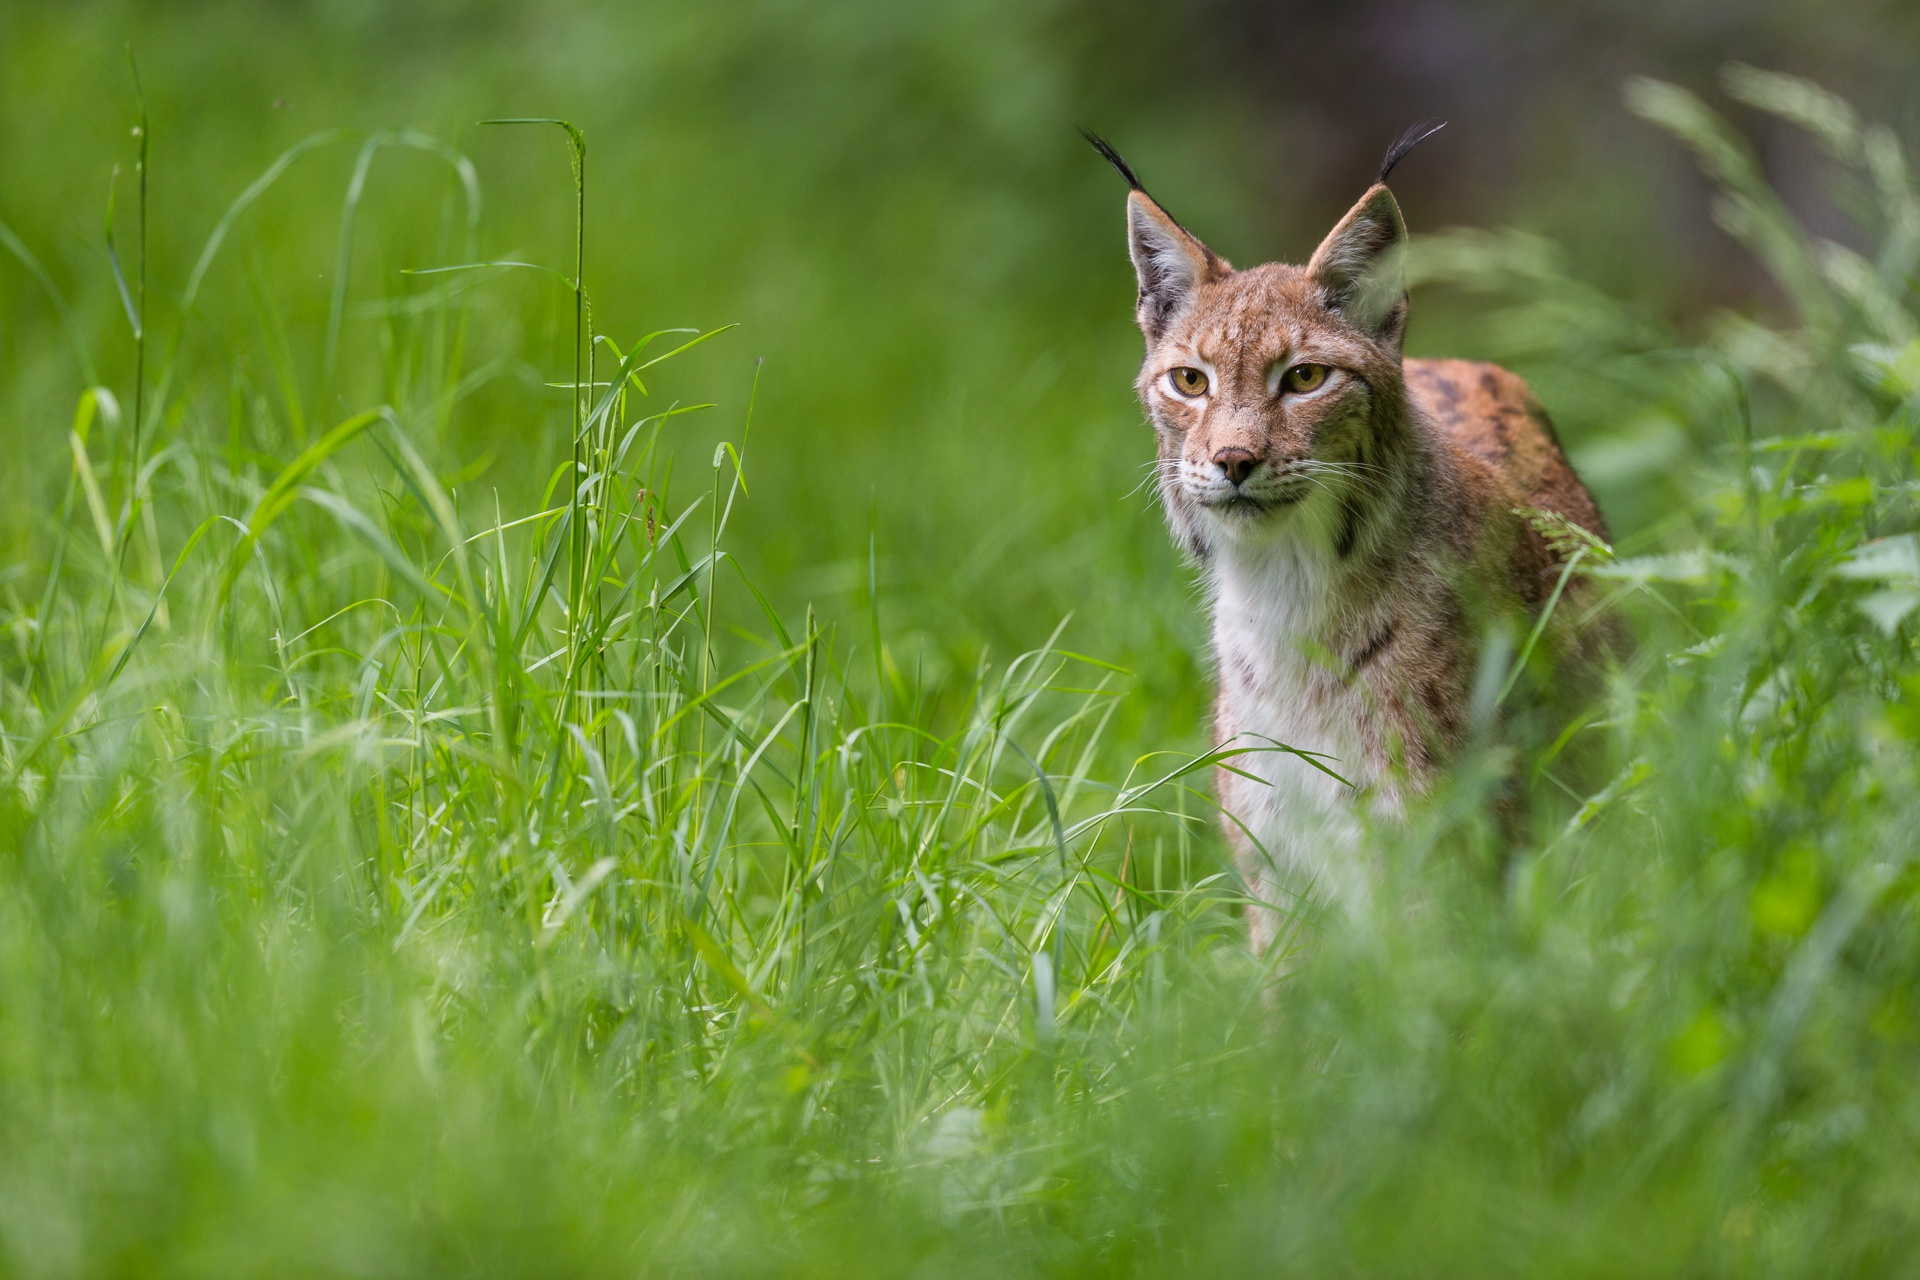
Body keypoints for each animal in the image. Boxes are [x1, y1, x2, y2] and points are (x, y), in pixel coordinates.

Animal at [1090, 130, 1612, 951]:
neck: (1283, 581)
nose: (1233, 461)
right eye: (1190, 382)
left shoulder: (1436, 845)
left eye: (1306, 378)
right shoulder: (1274, 858)